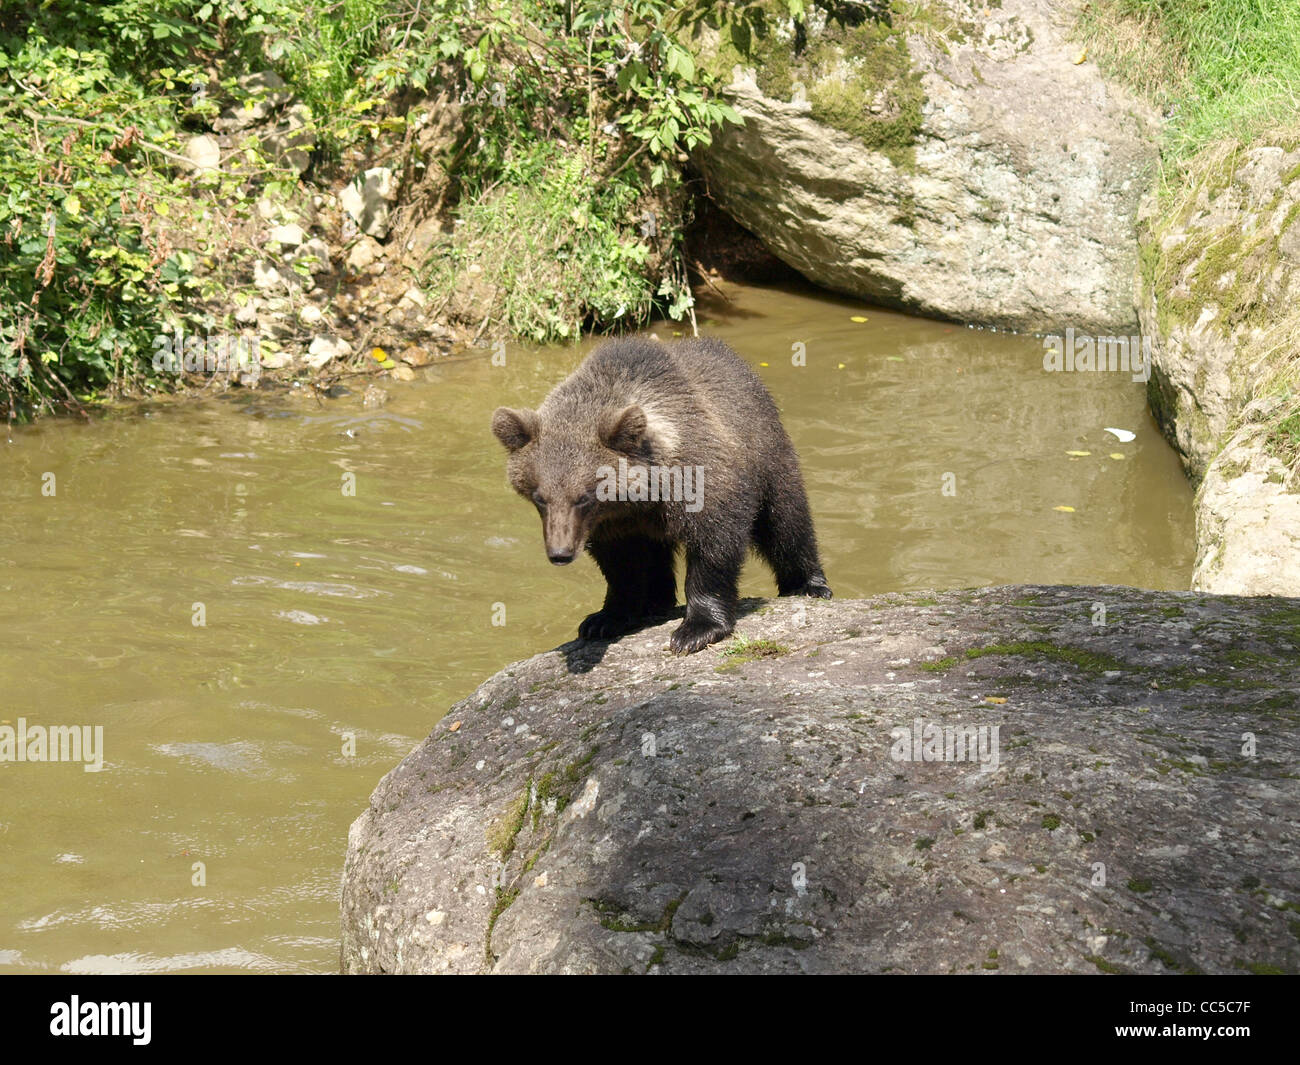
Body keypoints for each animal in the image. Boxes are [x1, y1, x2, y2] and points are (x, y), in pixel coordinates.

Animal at [488, 332, 832, 652]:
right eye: (539, 497)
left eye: (582, 497)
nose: (560, 553)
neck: (641, 496)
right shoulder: (612, 523)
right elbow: (619, 563)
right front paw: (604, 619)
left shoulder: (702, 475)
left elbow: (715, 543)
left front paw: (695, 631)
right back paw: (656, 601)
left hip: (768, 453)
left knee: (786, 520)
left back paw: (809, 584)